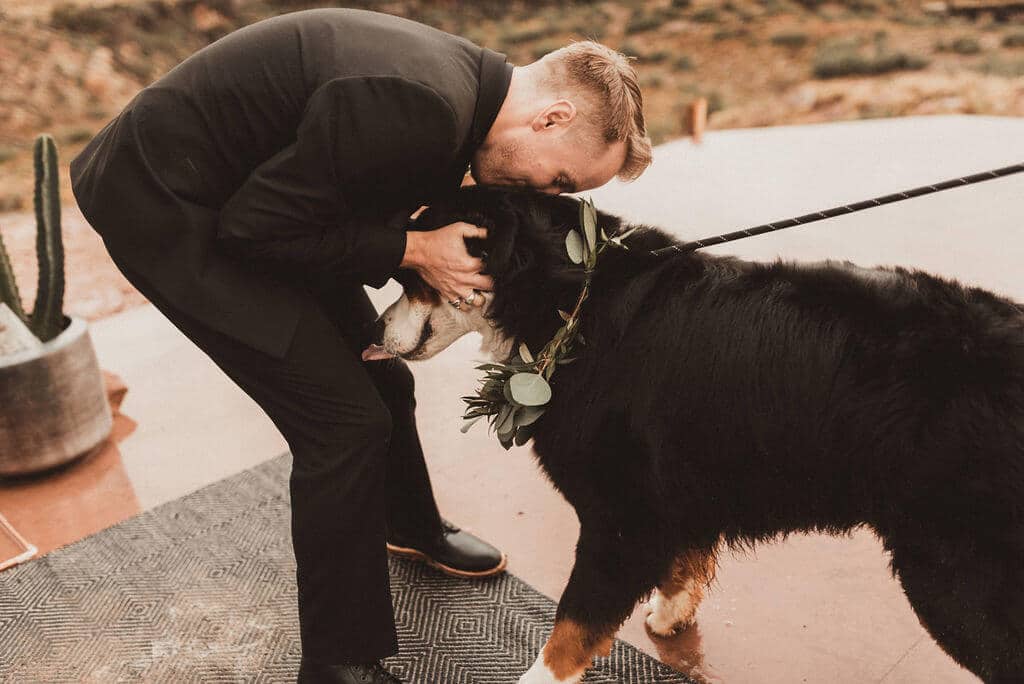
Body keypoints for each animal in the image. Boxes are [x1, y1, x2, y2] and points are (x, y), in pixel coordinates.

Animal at [364, 184, 1019, 679]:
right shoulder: (672, 495)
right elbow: (681, 556)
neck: (577, 301)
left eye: (411, 274)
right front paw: (672, 609)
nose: (372, 329)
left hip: (954, 577)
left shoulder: (620, 523)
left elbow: (568, 634)